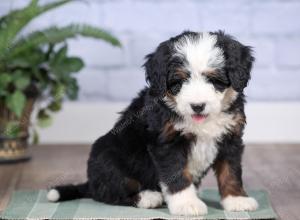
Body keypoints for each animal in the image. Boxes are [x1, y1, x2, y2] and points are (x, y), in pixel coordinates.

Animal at [48, 31, 258, 217]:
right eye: (179, 81)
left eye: (214, 80)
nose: (197, 106)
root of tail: (90, 181)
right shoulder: (167, 142)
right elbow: (176, 173)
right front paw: (186, 203)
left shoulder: (231, 137)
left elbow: (231, 171)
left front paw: (236, 199)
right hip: (107, 158)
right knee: (111, 191)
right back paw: (148, 197)